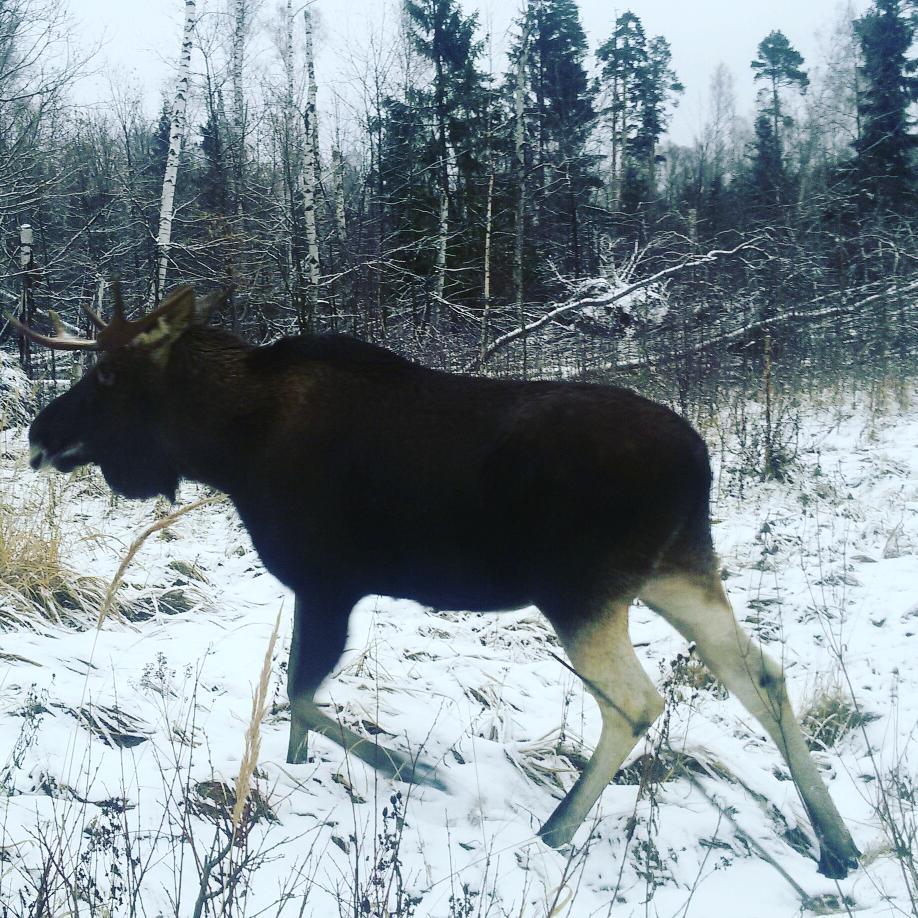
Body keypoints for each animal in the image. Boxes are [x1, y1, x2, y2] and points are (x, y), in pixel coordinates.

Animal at [12, 284, 864, 880]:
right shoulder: (313, 589)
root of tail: (700, 460)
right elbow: (292, 694)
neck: (228, 446)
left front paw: (408, 768)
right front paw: (295, 772)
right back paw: (838, 844)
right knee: (761, 674)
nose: (40, 433)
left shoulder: (331, 580)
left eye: (108, 373)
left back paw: (554, 830)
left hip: (582, 590)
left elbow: (301, 694)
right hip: (678, 570)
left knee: (636, 701)